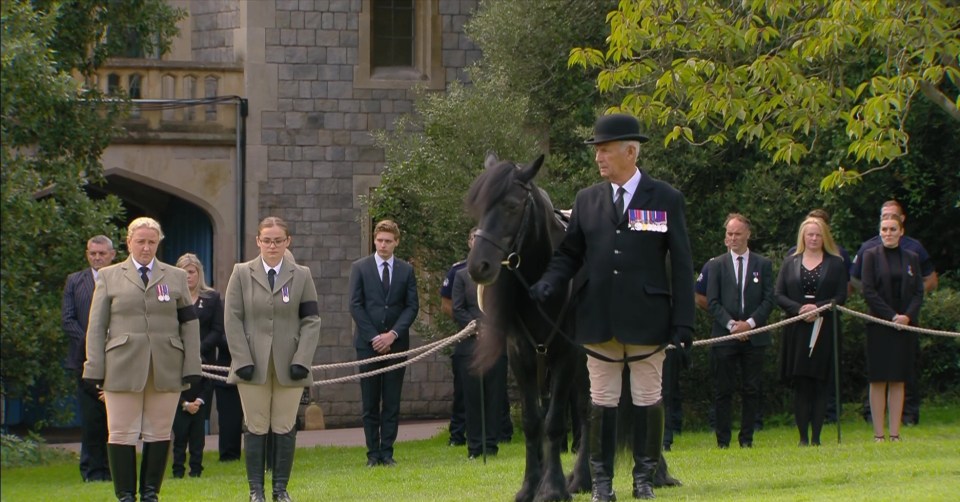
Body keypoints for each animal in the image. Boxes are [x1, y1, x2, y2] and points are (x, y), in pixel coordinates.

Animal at [466, 153, 592, 502]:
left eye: (511, 205)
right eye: (479, 207)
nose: (478, 266)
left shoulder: (566, 354)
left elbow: (554, 422)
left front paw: (552, 488)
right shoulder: (521, 356)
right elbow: (534, 421)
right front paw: (530, 485)